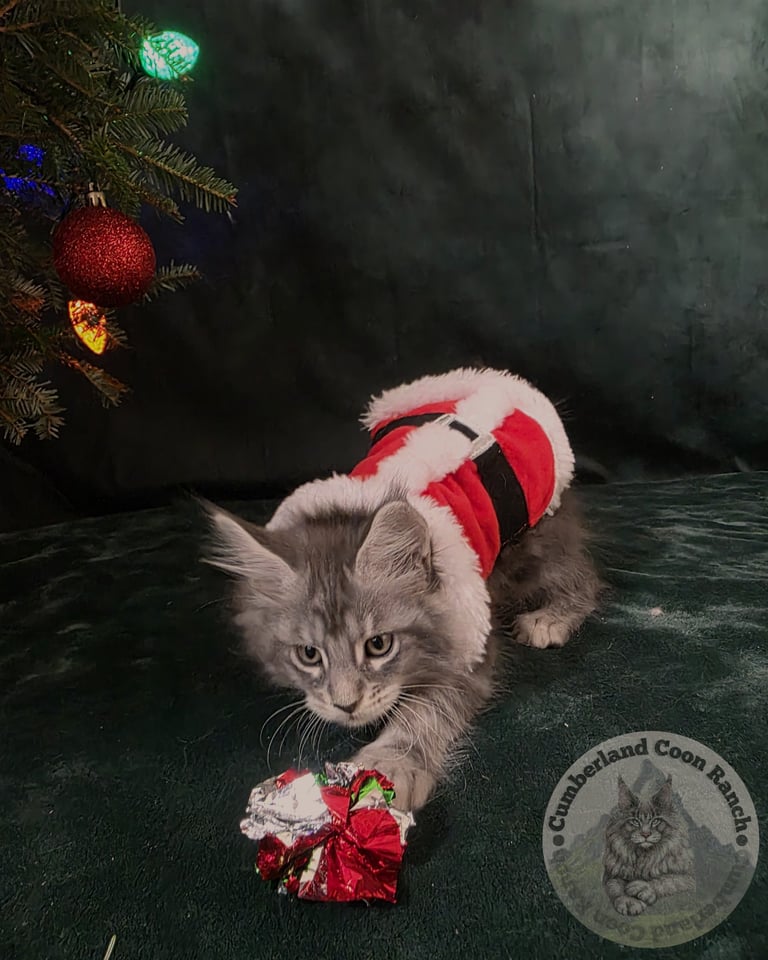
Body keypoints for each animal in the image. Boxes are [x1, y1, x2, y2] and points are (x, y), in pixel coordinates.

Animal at [203, 368, 601, 812]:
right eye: (308, 654)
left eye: (379, 645)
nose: (346, 705)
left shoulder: (470, 643)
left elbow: (426, 710)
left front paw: (390, 765)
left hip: (533, 540)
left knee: (583, 574)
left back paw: (550, 617)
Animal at [603, 775, 696, 915]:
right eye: (635, 822)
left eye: (656, 821)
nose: (645, 834)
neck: (644, 856)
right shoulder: (611, 875)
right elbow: (615, 887)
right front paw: (628, 901)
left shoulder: (688, 878)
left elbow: (668, 880)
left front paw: (643, 887)